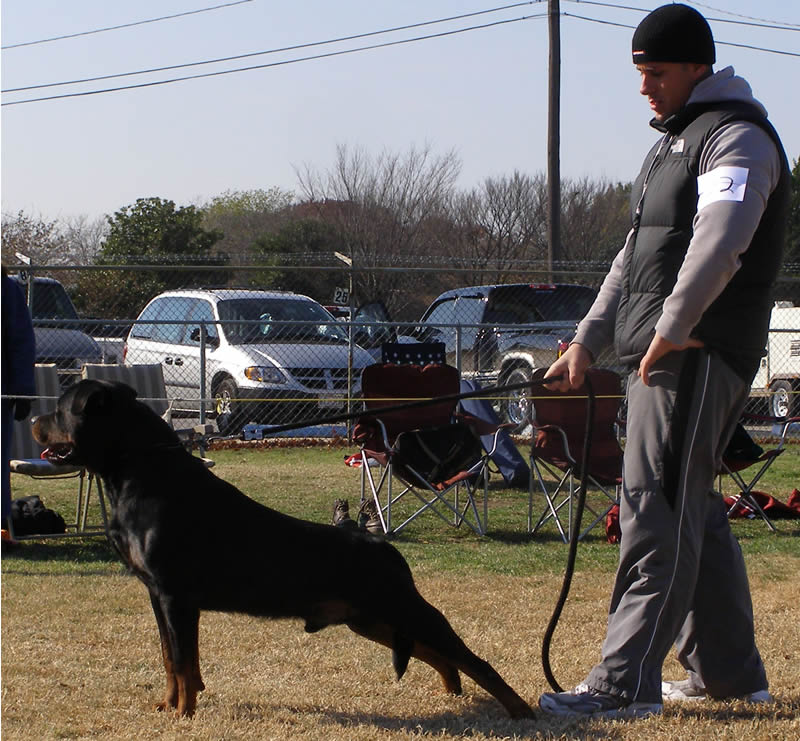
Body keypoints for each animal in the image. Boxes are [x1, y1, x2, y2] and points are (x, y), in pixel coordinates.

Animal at [31, 378, 536, 720]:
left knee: (471, 658)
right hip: (369, 618)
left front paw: (184, 714)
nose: (31, 419)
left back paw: (521, 711)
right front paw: (170, 705)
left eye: (60, 410)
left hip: (399, 607)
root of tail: (386, 548)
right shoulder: (157, 595)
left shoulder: (176, 595)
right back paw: (450, 692)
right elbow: (171, 657)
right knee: (437, 655)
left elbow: (182, 660)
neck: (142, 470)